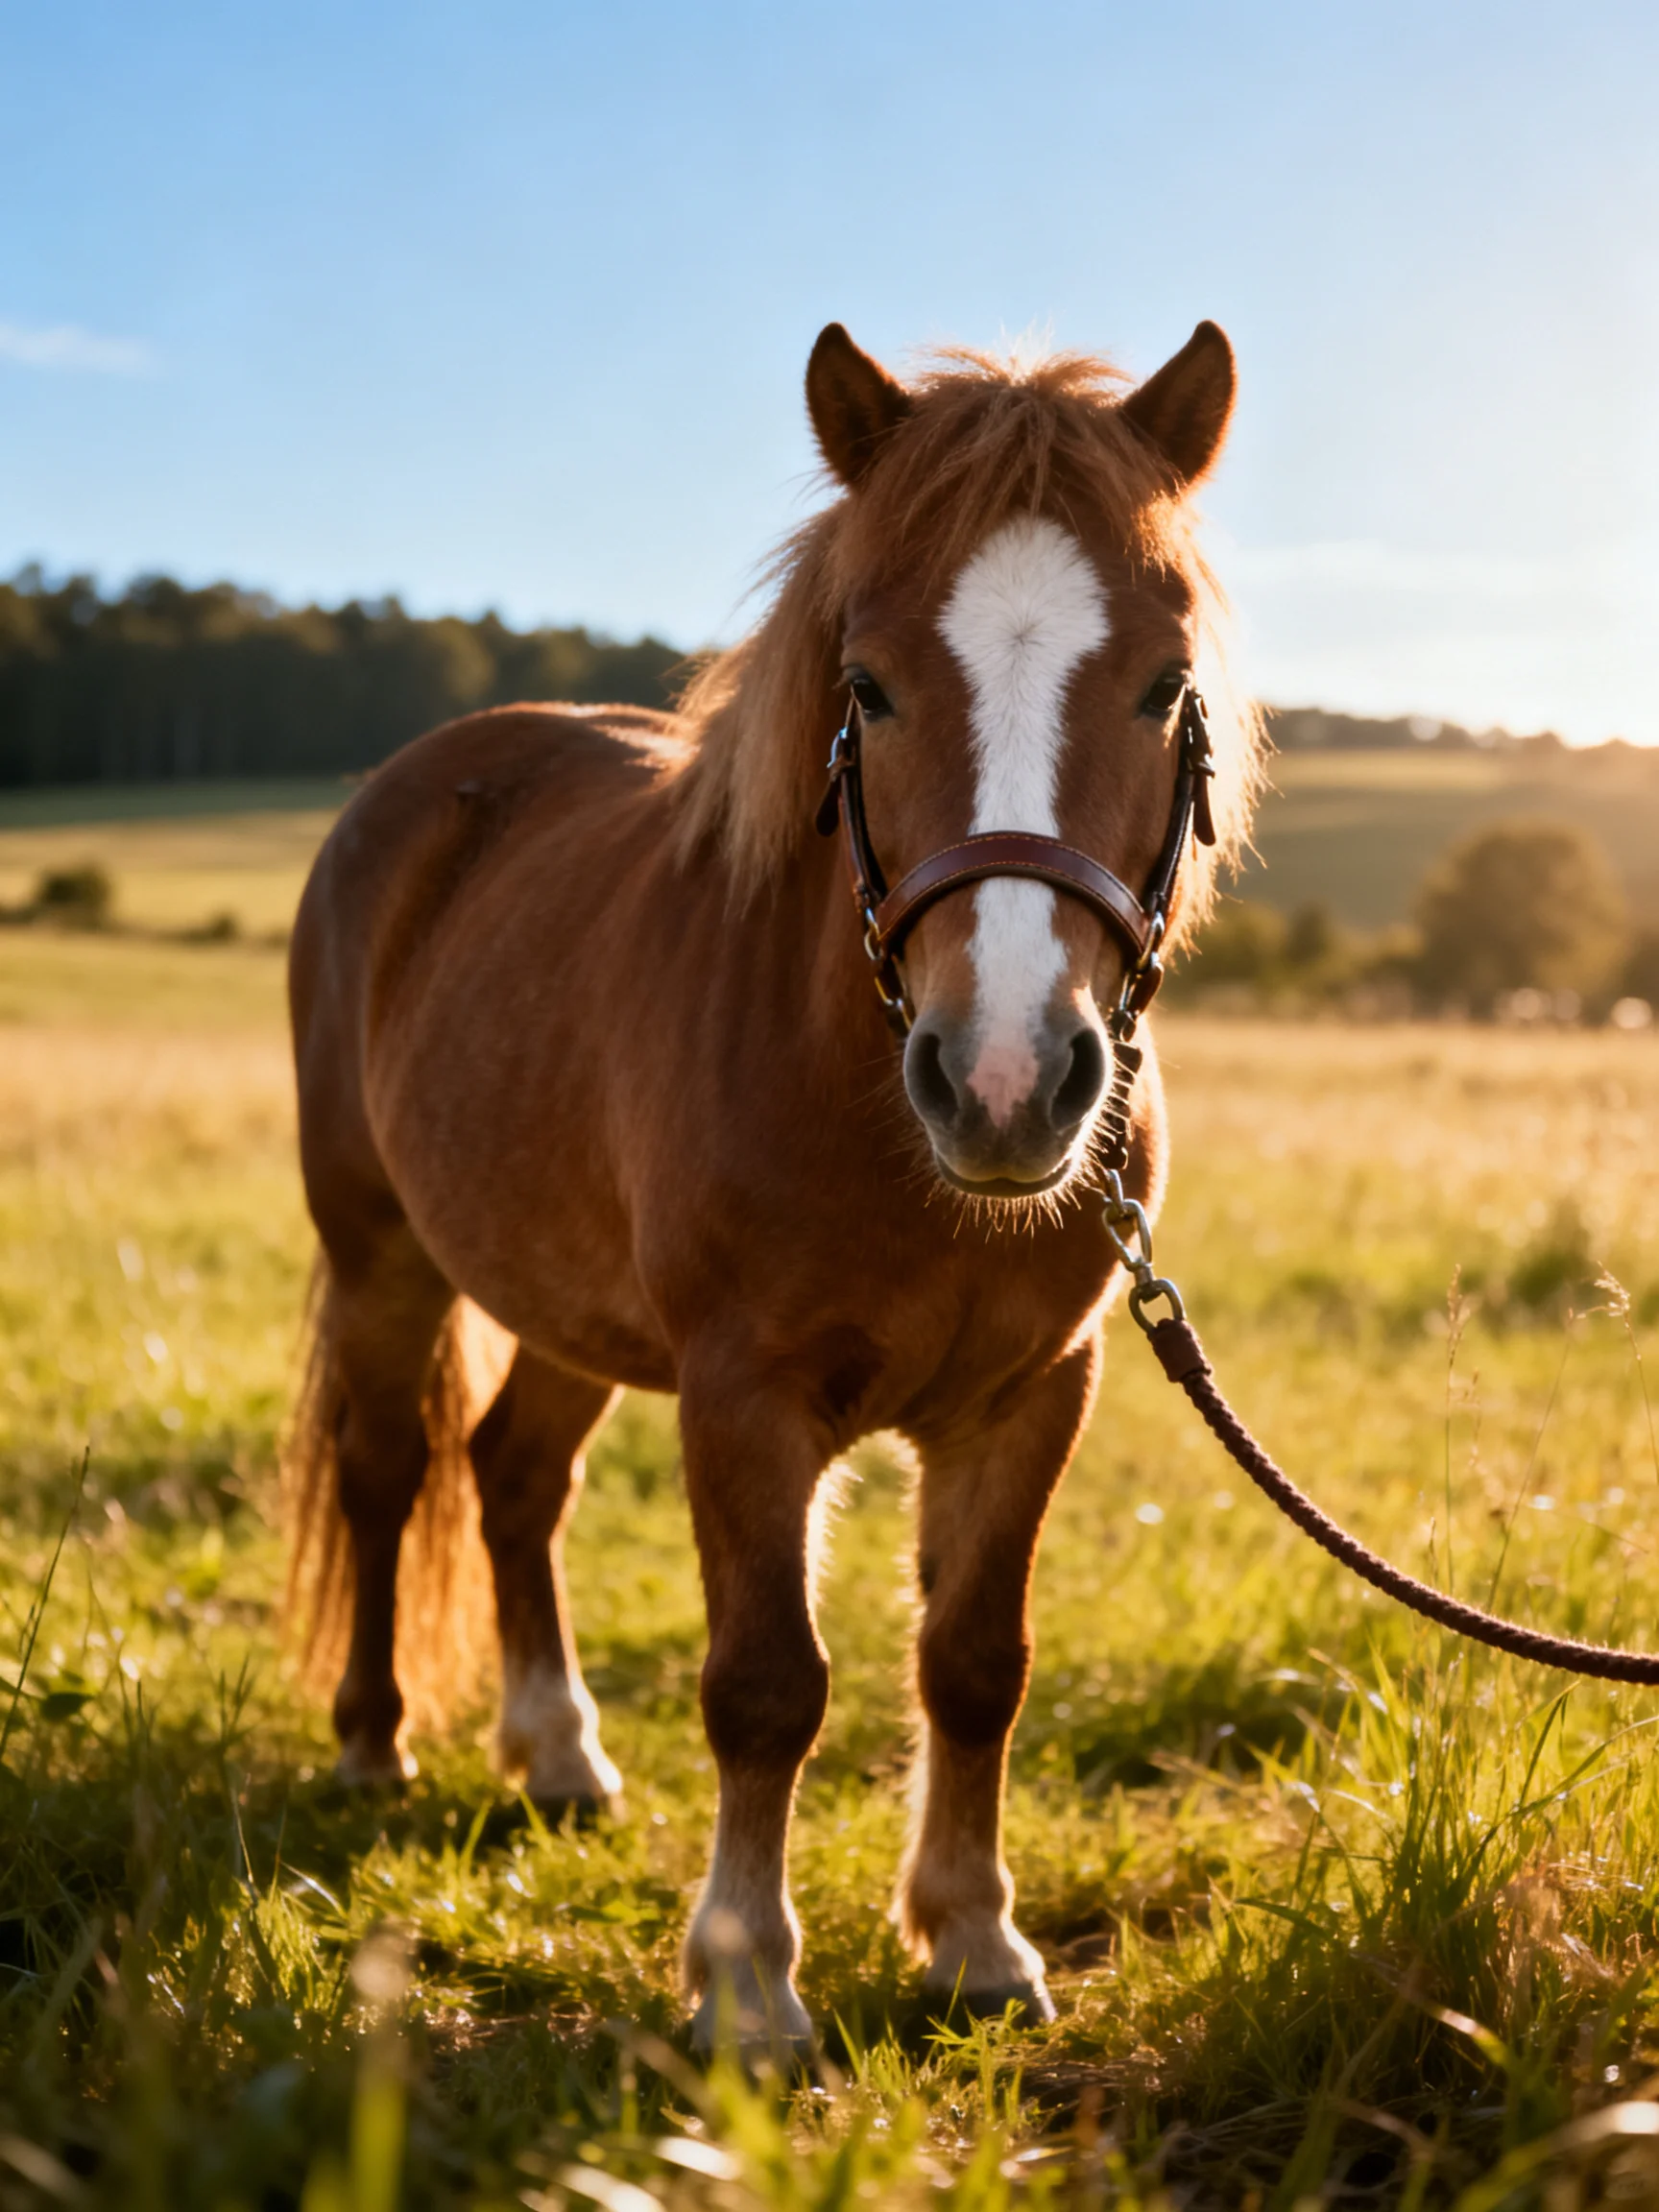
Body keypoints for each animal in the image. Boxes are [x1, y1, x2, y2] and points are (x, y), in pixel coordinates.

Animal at [283, 319, 1263, 2052]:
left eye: (1165, 686)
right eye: (866, 686)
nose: (1003, 1077)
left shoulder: (1036, 1393)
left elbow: (975, 1661)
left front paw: (974, 1939)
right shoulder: (743, 1394)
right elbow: (765, 1682)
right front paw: (744, 1982)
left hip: (570, 1300)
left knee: (512, 1474)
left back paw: (556, 1751)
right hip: (382, 1249)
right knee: (388, 1468)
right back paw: (372, 1738)